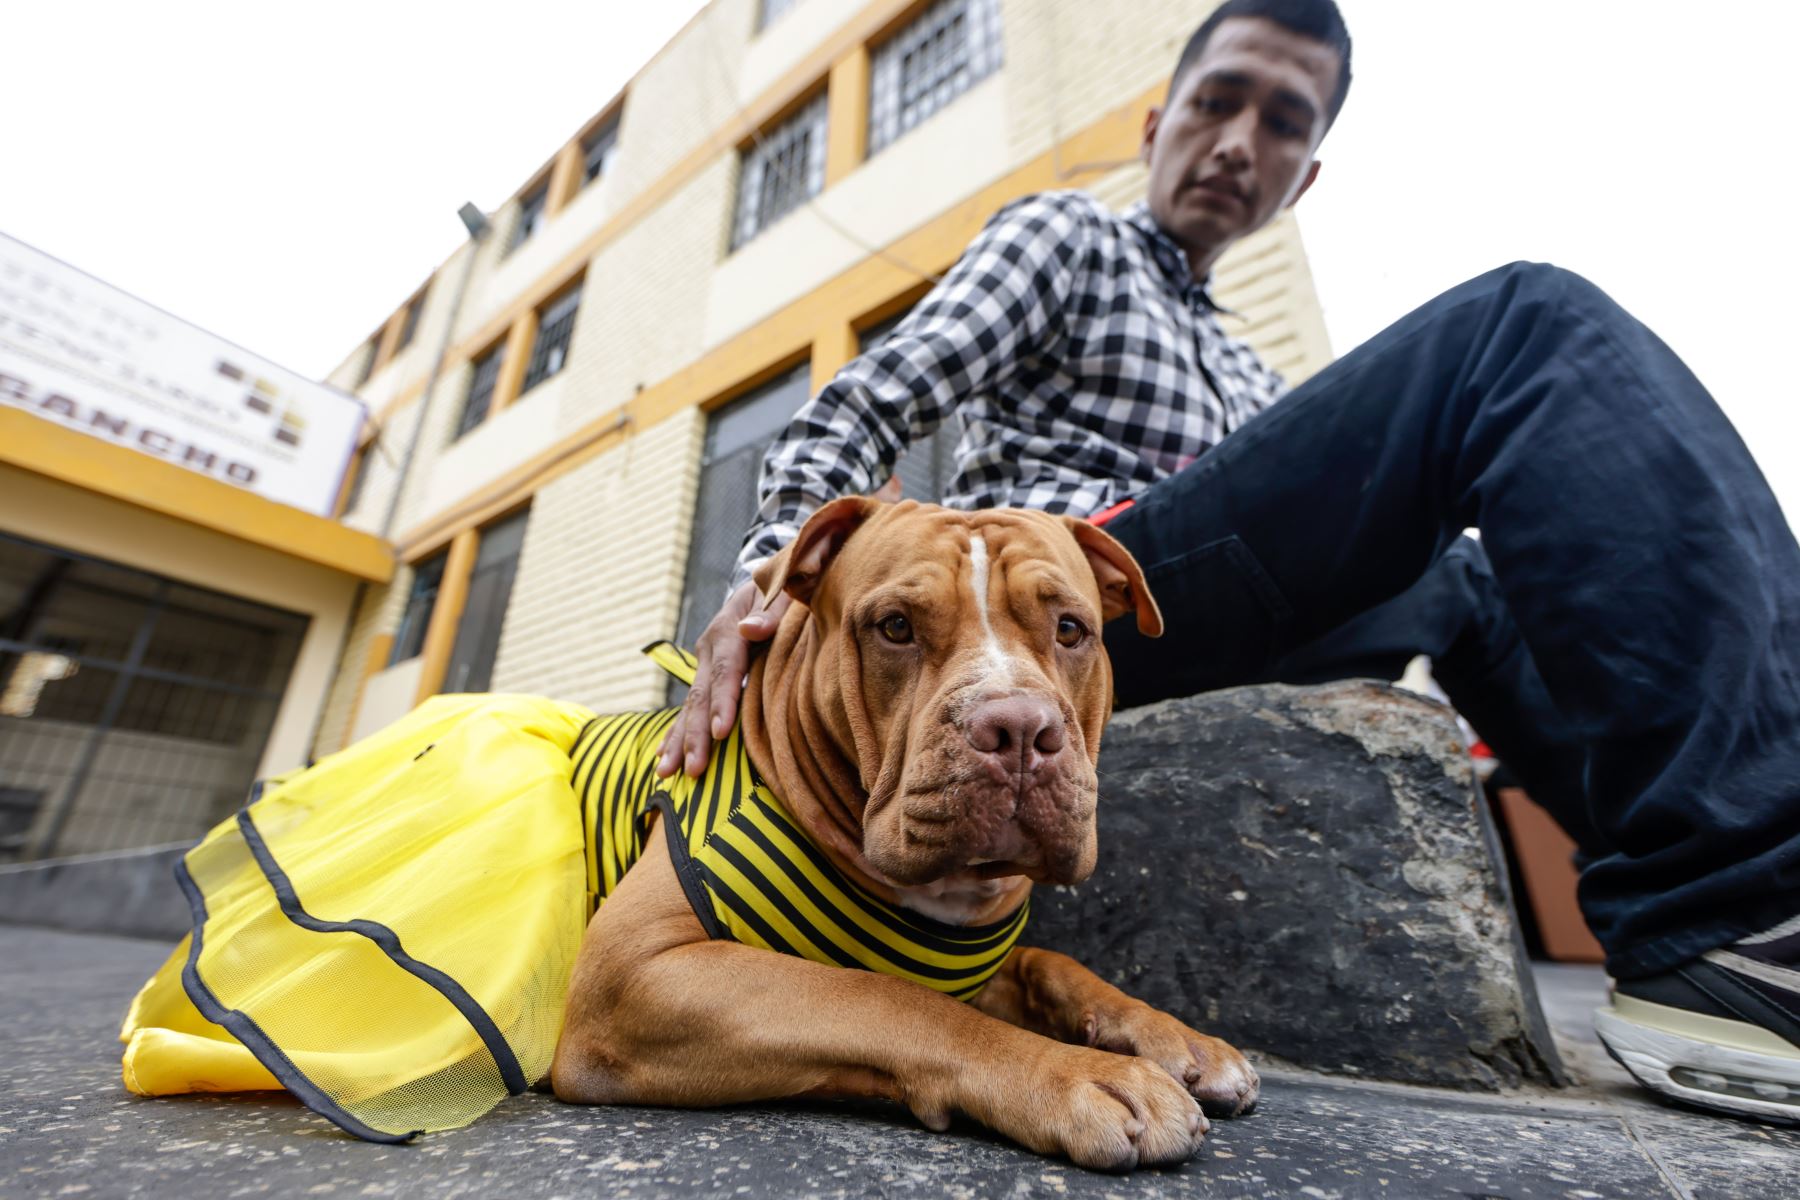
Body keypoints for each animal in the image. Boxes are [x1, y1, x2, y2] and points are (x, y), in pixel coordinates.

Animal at [547, 496, 1252, 1173]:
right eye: (895, 627)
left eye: (1071, 631)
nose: (1021, 728)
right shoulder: (631, 970)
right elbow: (891, 995)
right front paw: (1083, 1075)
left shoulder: (974, 958)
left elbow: (1051, 964)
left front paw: (1174, 1036)